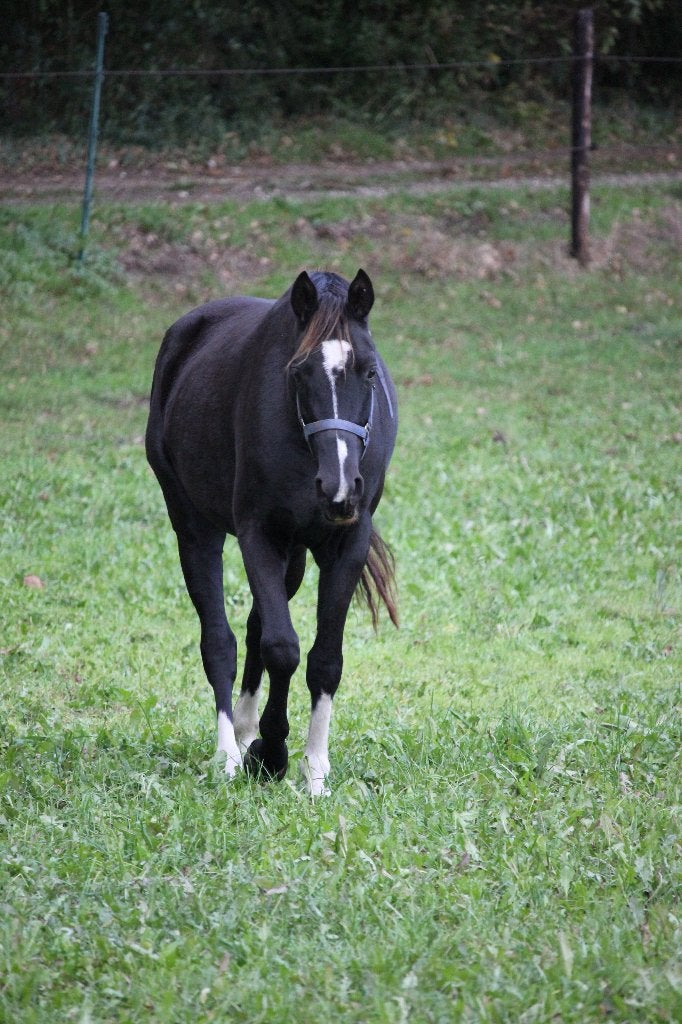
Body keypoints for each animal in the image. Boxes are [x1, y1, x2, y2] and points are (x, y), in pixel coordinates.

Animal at [145, 269, 398, 796]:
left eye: (368, 372)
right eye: (298, 372)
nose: (339, 487)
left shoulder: (346, 544)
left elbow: (325, 659)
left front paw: (315, 768)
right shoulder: (258, 535)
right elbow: (282, 649)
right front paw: (272, 753)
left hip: (295, 555)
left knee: (255, 625)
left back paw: (244, 731)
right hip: (195, 528)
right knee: (220, 641)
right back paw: (228, 752)